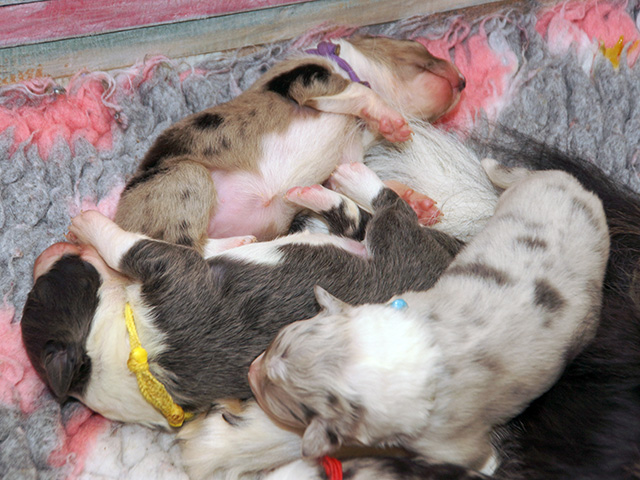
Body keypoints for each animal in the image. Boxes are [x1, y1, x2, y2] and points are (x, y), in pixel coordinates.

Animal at [114, 36, 465, 250]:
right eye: (416, 44)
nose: (463, 81)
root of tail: (119, 222)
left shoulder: (341, 164)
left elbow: (373, 182)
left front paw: (421, 204)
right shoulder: (309, 81)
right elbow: (361, 91)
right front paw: (394, 124)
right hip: (188, 178)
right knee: (186, 245)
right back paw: (239, 243)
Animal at [248, 158, 610, 472]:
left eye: (283, 402)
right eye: (278, 339)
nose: (251, 370)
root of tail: (579, 188)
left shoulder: (457, 446)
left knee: (393, 211)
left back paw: (349, 177)